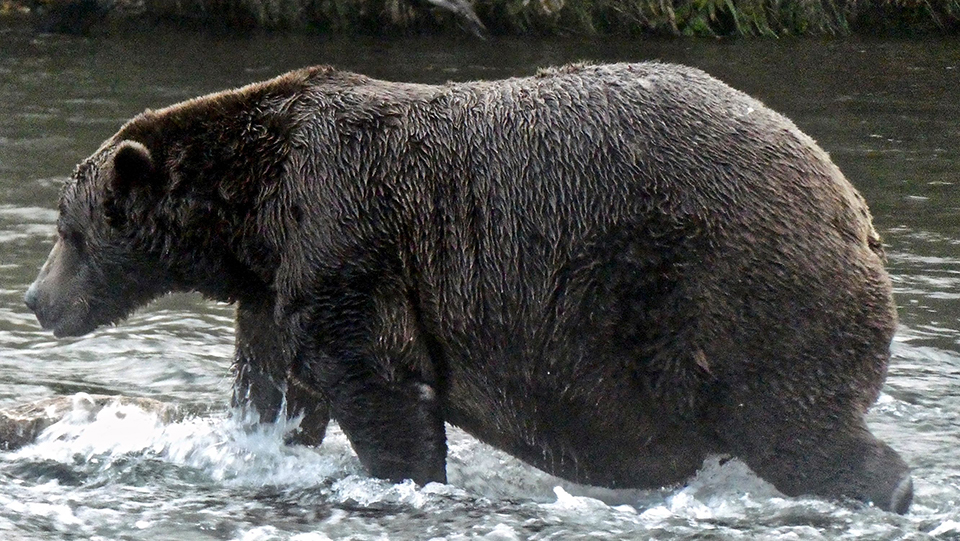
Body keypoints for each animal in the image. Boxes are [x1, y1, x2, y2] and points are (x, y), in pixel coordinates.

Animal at [24, 62, 912, 513]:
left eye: (70, 231)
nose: (35, 299)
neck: (255, 209)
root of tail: (855, 212)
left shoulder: (348, 235)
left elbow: (376, 377)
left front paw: (403, 475)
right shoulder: (277, 283)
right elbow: (273, 384)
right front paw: (257, 439)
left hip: (743, 292)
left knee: (794, 425)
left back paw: (885, 487)